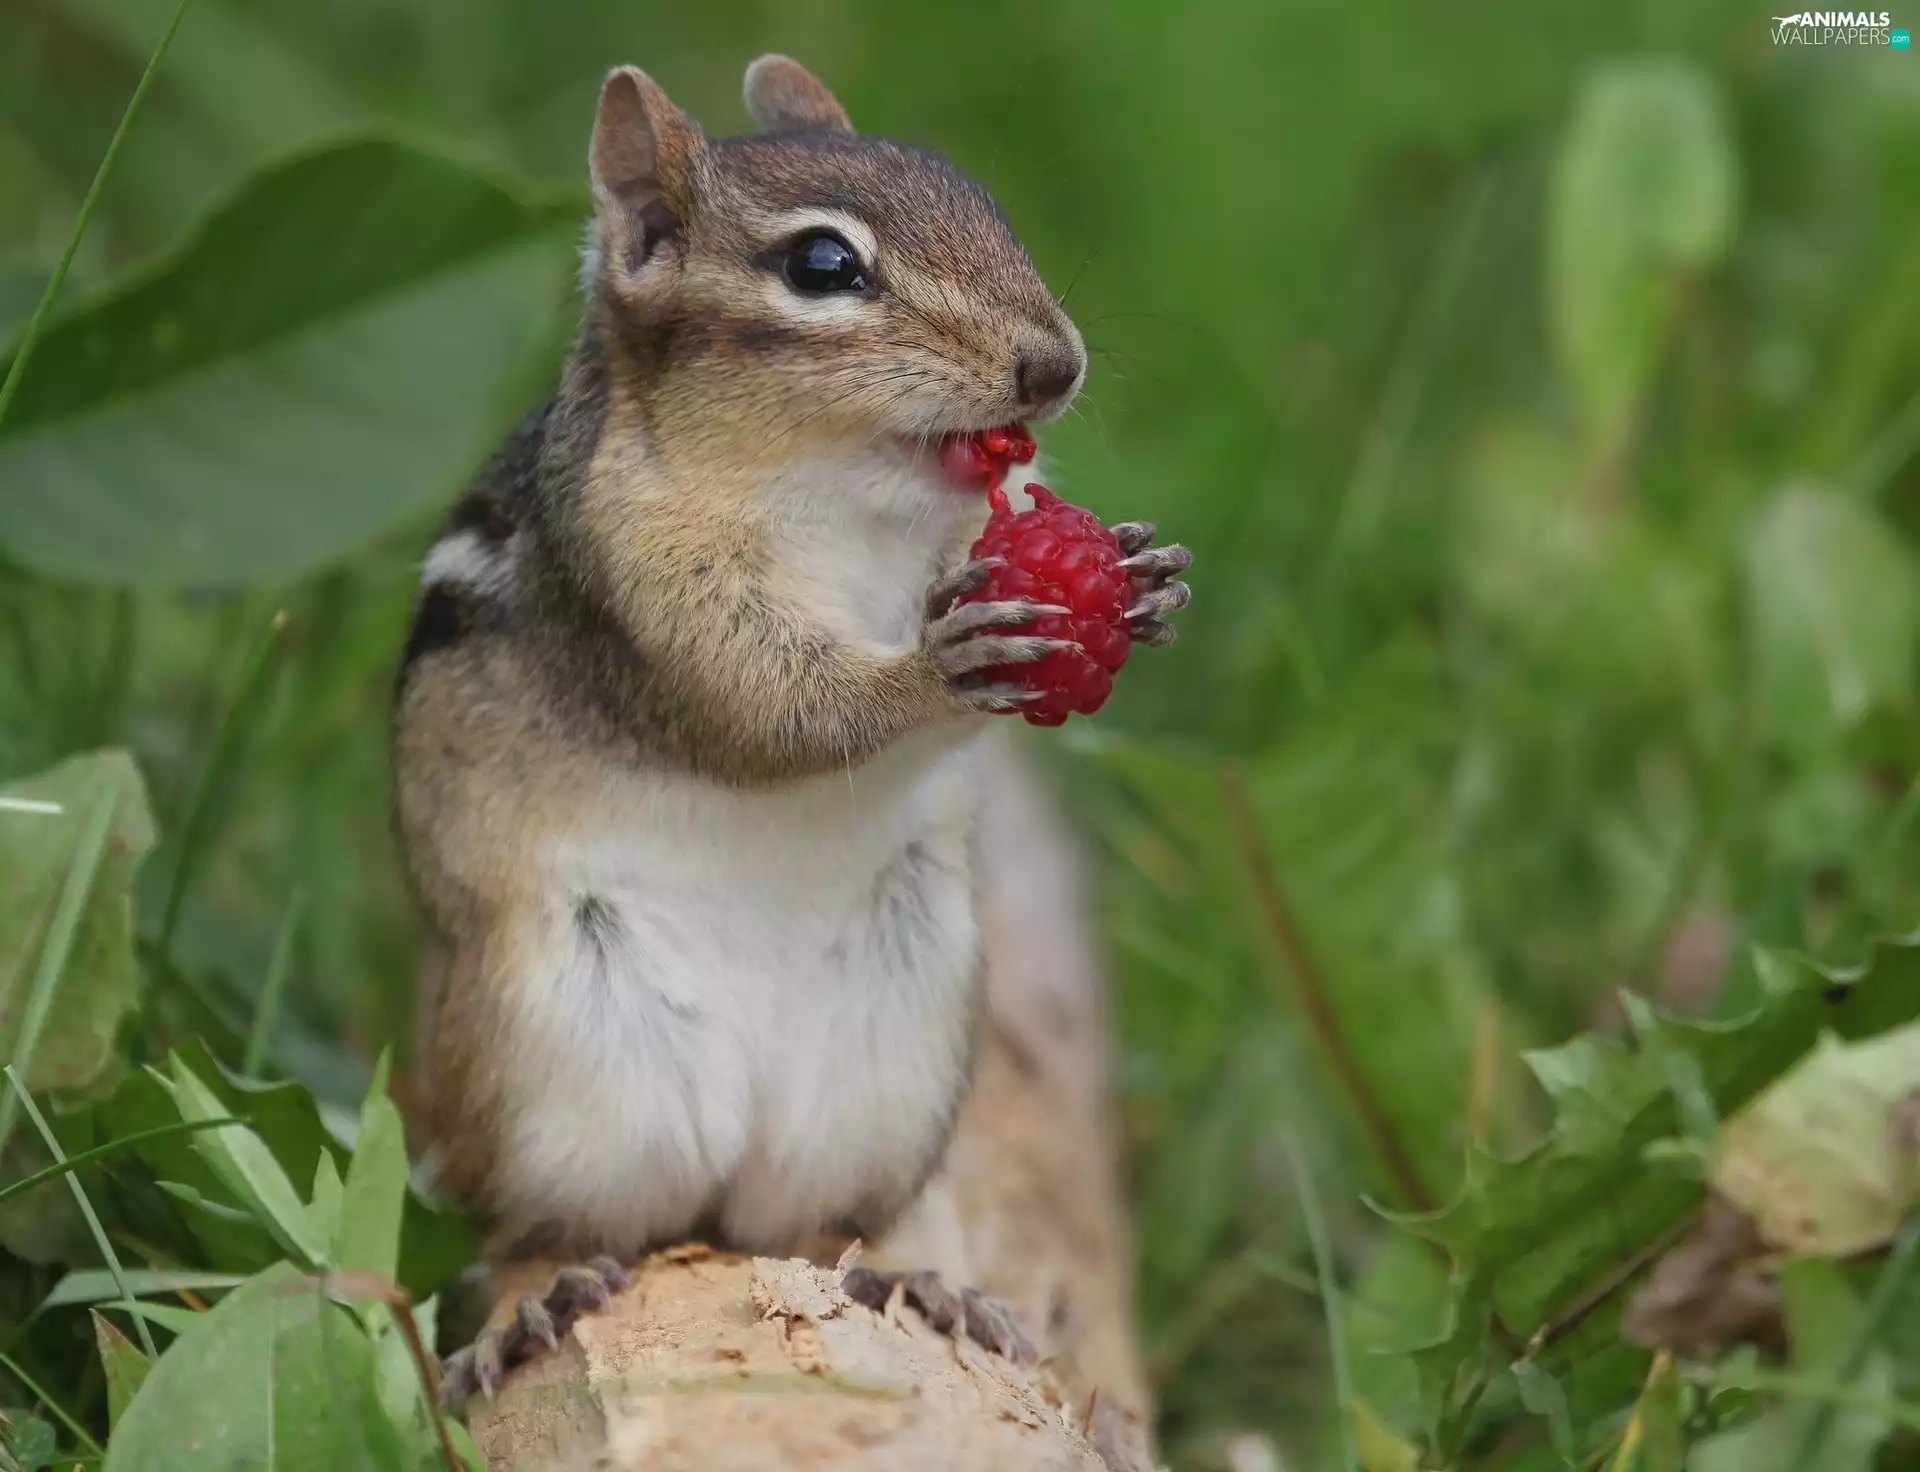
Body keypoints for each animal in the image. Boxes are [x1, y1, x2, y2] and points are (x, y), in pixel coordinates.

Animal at [391, 54, 1191, 1404]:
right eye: (823, 266)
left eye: (982, 198)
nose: (1055, 366)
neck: (848, 499)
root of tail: (720, 1184)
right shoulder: (648, 586)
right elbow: (770, 710)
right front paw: (937, 665)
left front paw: (1136, 576)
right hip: (540, 1058)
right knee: (538, 1229)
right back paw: (531, 1301)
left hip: (896, 1061)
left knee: (816, 1226)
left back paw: (917, 1277)